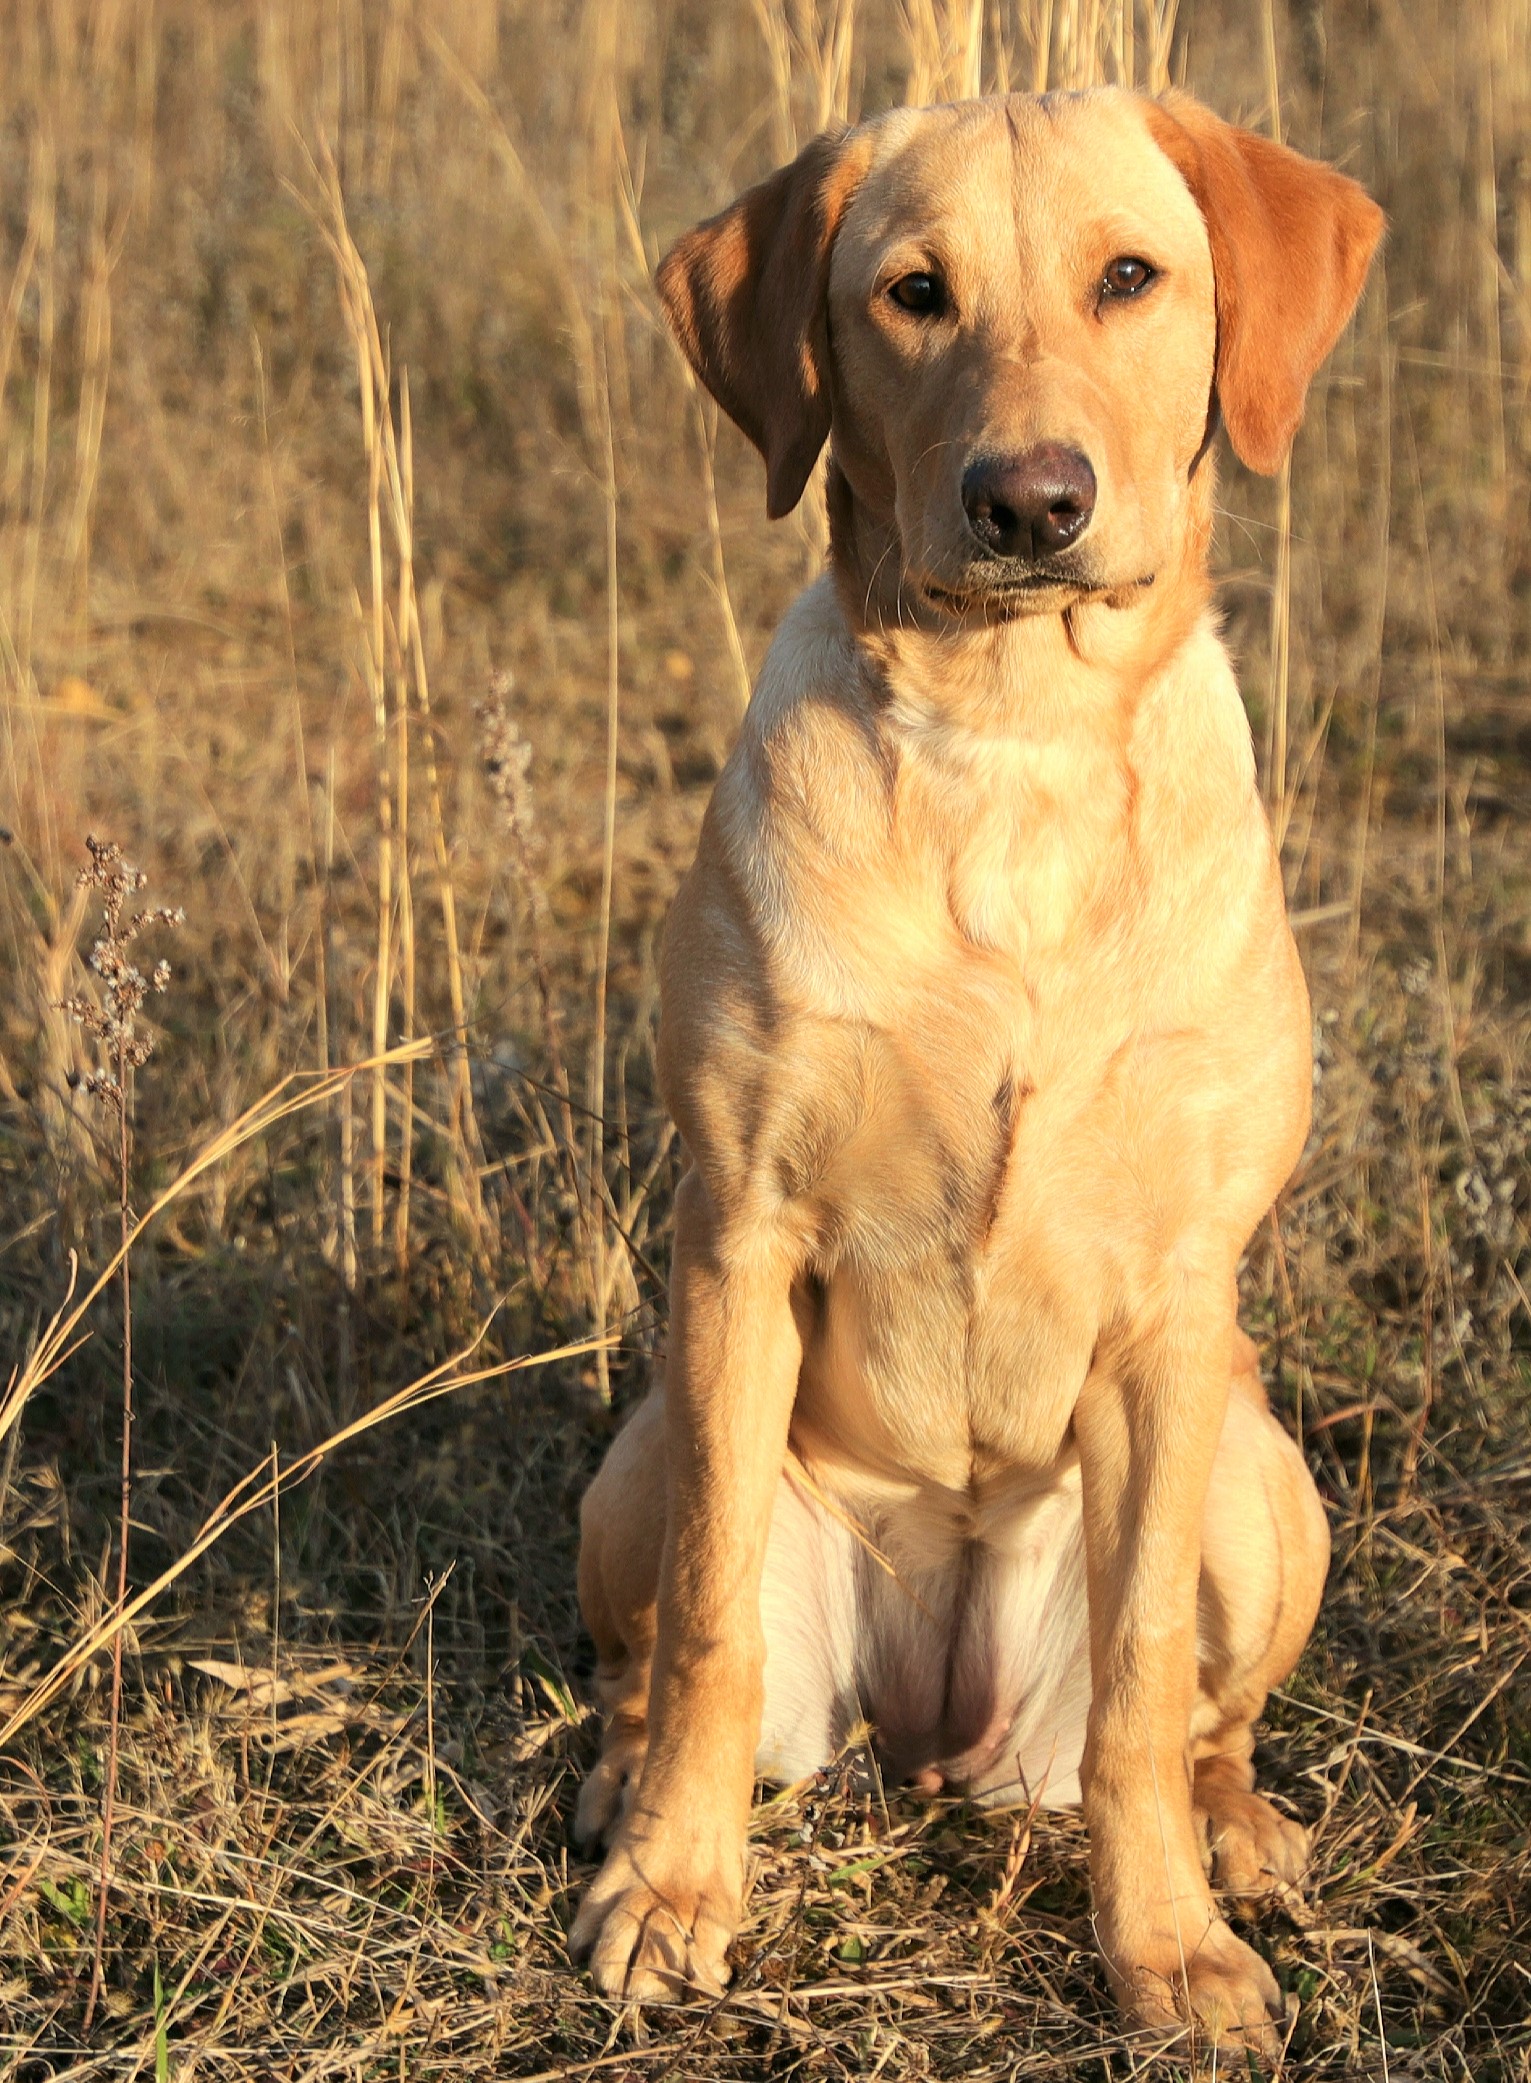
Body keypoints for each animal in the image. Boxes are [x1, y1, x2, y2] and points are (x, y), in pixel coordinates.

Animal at [570, 85, 1383, 2049]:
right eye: (913, 293)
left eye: (1130, 277)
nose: (1029, 500)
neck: (1013, 729)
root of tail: (936, 1734)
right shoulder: (736, 1238)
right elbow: (706, 1624)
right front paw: (676, 1887)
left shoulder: (1174, 1304)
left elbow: (1147, 1678)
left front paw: (1162, 1945)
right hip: (636, 1453)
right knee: (654, 1649)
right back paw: (618, 1788)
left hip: (1262, 1477)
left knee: (1193, 1716)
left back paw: (1235, 1835)